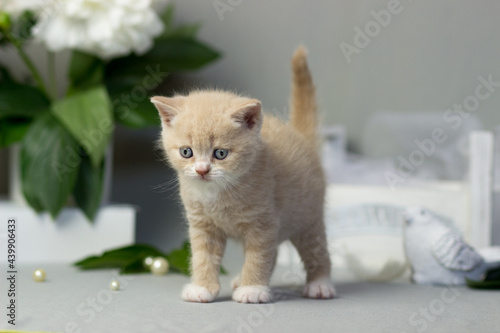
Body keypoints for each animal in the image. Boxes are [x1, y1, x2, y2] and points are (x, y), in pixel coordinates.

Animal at [150, 46, 334, 304]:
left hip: (308, 216)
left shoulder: (263, 222)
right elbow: (203, 257)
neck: (218, 193)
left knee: (316, 249)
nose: (202, 170)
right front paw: (202, 287)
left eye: (220, 153)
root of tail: (300, 136)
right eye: (187, 152)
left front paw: (253, 289)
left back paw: (320, 285)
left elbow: (258, 256)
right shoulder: (202, 224)